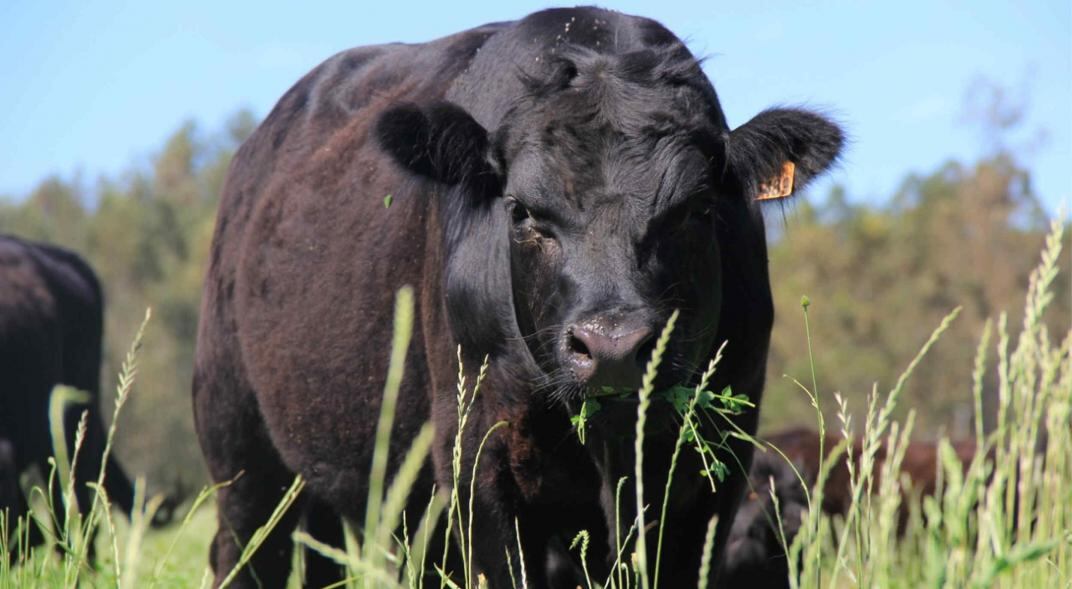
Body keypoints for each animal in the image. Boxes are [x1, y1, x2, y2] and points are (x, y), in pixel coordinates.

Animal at [195, 6, 844, 583]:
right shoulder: (479, 454)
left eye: (698, 208)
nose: (612, 347)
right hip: (241, 449)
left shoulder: (711, 462)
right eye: (523, 212)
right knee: (246, 552)